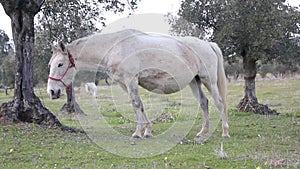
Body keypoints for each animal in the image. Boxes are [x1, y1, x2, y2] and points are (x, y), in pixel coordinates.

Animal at [47, 29, 230, 138]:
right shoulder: (125, 84)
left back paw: (225, 132)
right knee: (204, 103)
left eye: (60, 64)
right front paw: (147, 131)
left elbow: (136, 104)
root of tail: (208, 44)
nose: (52, 92)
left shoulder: (131, 80)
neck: (115, 47)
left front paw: (137, 132)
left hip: (209, 81)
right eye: (51, 64)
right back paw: (203, 132)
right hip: (194, 82)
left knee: (220, 103)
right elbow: (139, 105)